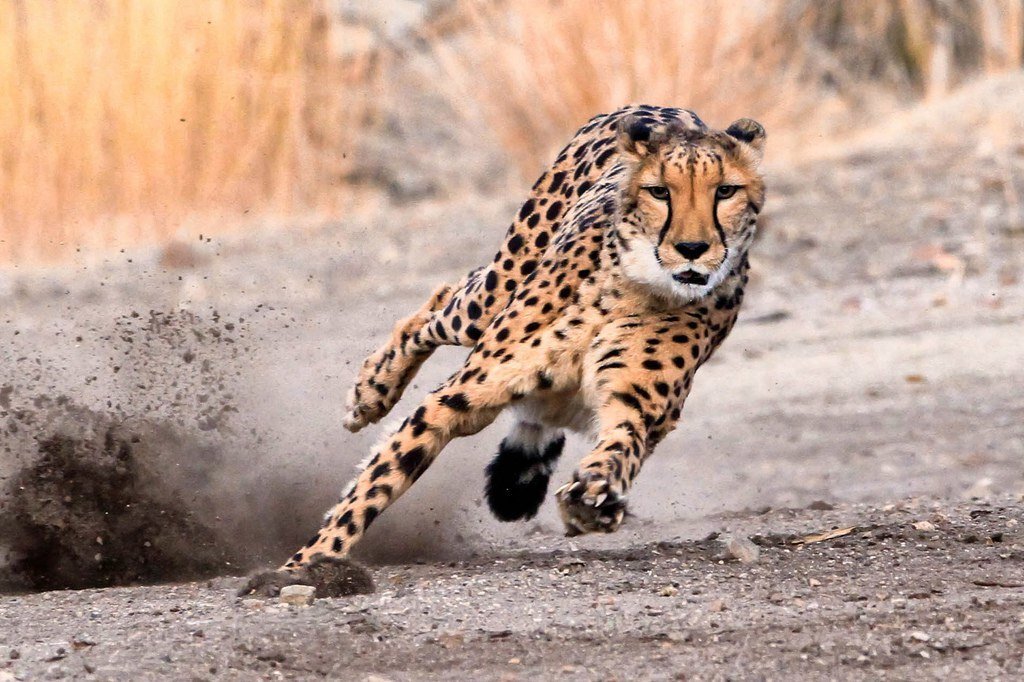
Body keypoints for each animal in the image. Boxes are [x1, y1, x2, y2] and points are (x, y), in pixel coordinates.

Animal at [243, 104, 765, 593]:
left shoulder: (638, 406)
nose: (693, 249)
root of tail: (660, 106)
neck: (640, 286)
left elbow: (622, 445)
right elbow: (373, 487)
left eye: (725, 191)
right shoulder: (455, 400)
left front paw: (593, 495)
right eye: (660, 192)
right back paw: (371, 391)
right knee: (440, 304)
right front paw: (304, 566)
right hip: (490, 295)